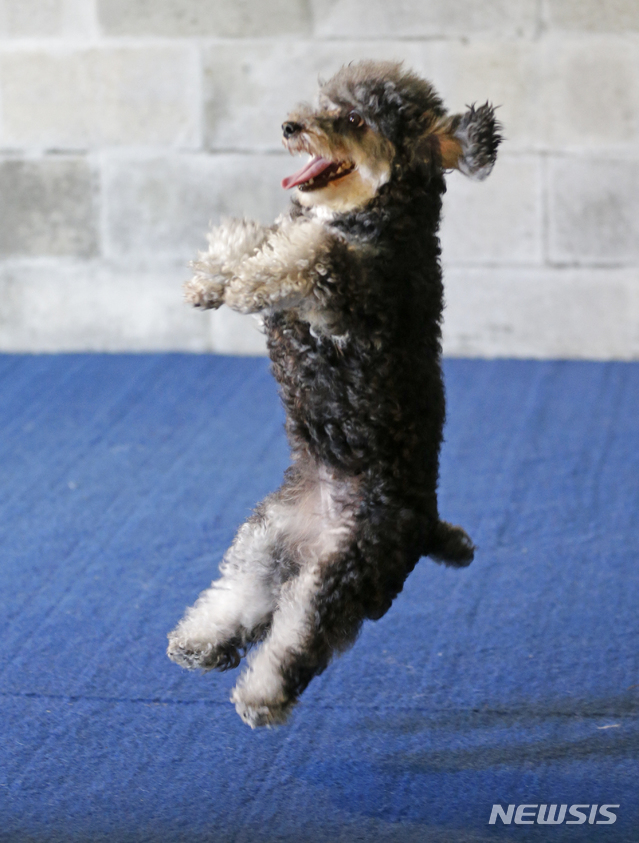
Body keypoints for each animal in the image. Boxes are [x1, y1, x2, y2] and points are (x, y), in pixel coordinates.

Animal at [168, 62, 502, 728]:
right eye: (324, 99)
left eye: (355, 119)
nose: (290, 125)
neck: (370, 216)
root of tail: (426, 526)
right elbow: (258, 232)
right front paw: (214, 279)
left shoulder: (353, 297)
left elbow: (313, 252)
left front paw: (246, 283)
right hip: (267, 538)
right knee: (243, 601)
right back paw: (200, 641)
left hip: (342, 573)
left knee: (296, 641)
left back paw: (261, 696)